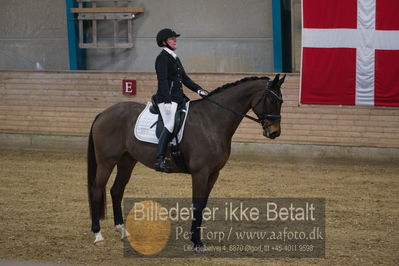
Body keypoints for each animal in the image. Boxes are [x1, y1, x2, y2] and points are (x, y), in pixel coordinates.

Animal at [88, 72, 288, 247]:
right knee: (97, 190)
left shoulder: (213, 173)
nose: (275, 132)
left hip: (127, 161)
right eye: (272, 100)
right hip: (106, 161)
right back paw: (98, 235)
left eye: (281, 101)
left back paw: (123, 232)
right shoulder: (200, 173)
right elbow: (197, 204)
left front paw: (196, 238)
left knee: (116, 191)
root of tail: (104, 113)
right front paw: (196, 242)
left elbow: (203, 205)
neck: (211, 121)